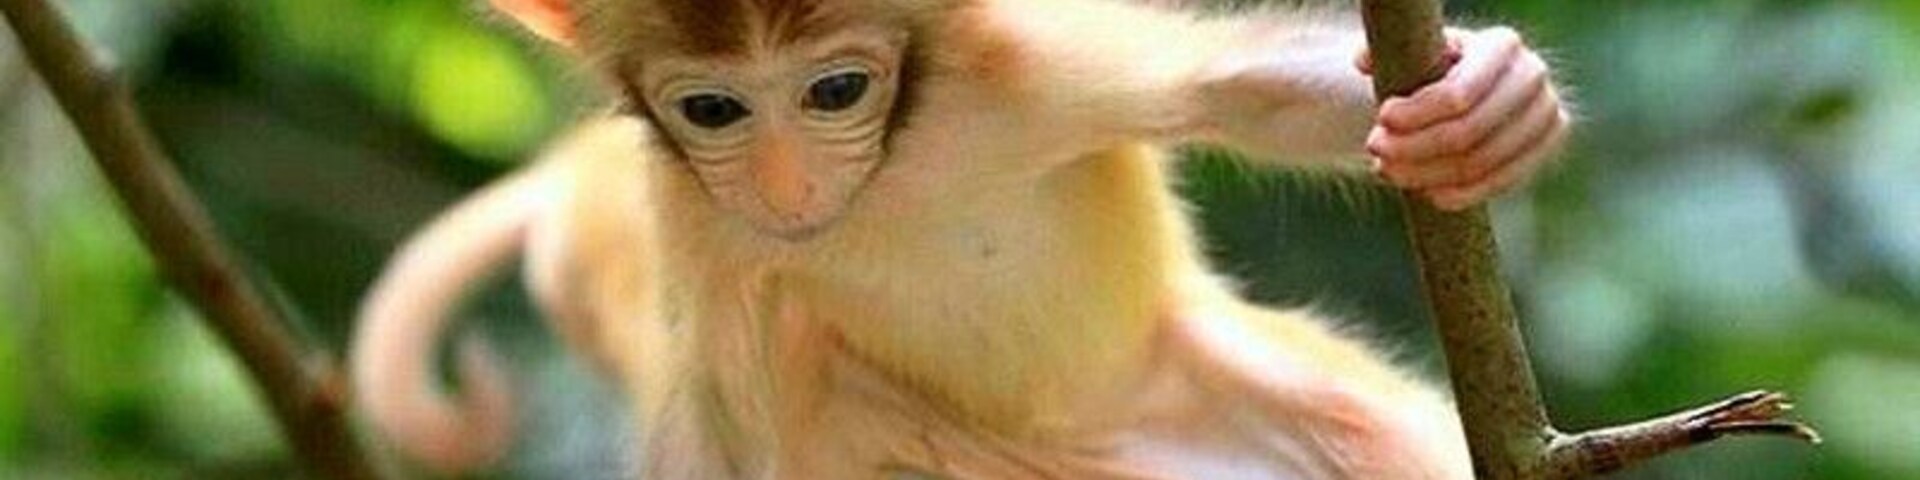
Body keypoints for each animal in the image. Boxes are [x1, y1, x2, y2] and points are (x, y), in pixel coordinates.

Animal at [349, 0, 1571, 477]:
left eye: (836, 89)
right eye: (714, 110)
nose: (788, 187)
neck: (881, 181)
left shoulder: (1028, 72)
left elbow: (1247, 93)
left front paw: (1488, 107)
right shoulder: (702, 231)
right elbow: (727, 434)